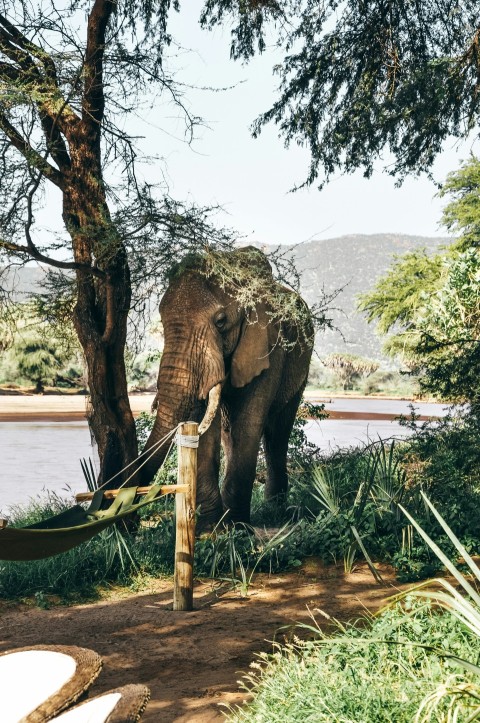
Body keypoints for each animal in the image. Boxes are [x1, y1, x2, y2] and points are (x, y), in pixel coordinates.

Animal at [140, 246, 316, 528]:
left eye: (221, 321)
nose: (127, 524)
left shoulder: (268, 346)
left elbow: (247, 423)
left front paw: (237, 527)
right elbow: (207, 428)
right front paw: (210, 530)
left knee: (277, 432)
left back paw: (275, 510)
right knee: (228, 431)